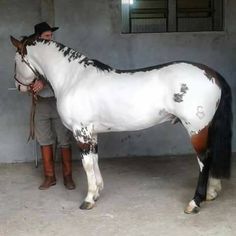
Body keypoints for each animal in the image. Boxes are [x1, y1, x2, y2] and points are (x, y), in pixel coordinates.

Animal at [9, 35, 232, 214]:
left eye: (15, 61)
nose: (19, 86)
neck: (73, 78)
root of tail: (212, 74)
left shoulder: (81, 132)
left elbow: (87, 164)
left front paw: (88, 199)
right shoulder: (91, 133)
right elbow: (95, 160)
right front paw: (97, 192)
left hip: (196, 129)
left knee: (204, 160)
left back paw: (195, 202)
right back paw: (212, 192)